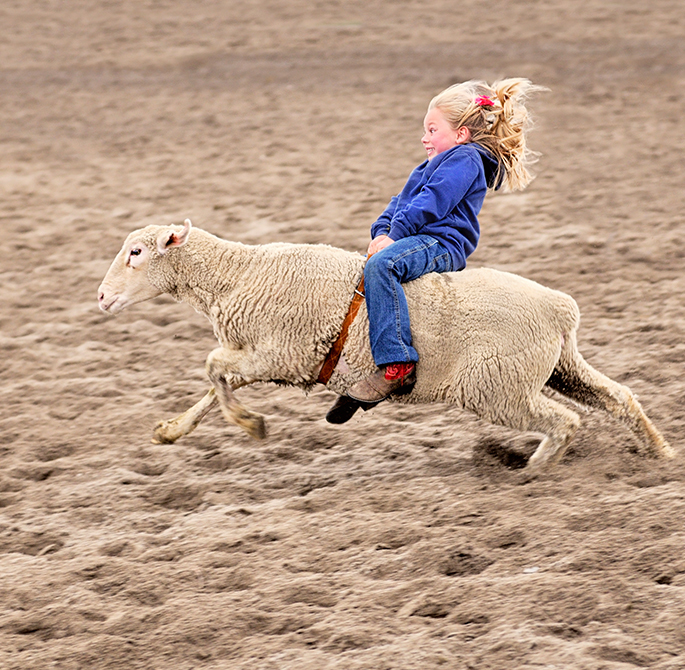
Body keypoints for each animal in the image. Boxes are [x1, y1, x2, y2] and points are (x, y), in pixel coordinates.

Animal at [99, 220, 676, 472]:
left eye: (135, 252)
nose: (101, 296)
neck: (238, 275)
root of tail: (559, 307)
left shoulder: (281, 354)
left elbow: (211, 368)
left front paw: (251, 425)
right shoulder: (265, 357)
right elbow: (212, 385)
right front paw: (171, 431)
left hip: (497, 388)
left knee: (566, 422)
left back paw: (532, 471)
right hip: (558, 368)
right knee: (620, 398)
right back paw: (660, 454)